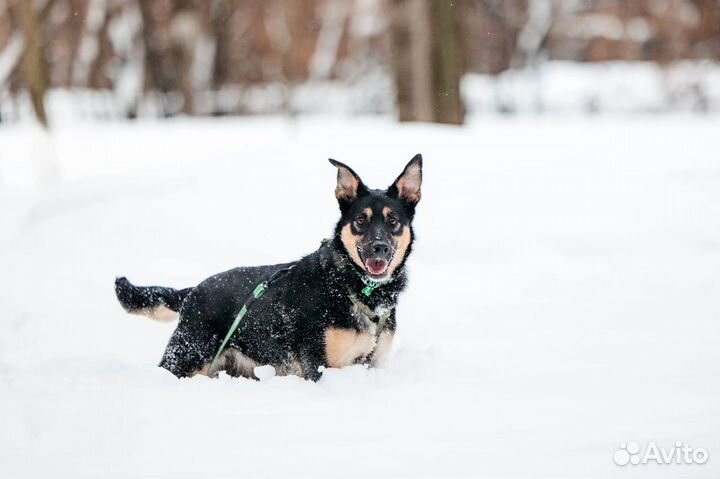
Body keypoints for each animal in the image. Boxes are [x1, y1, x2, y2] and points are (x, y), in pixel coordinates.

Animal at [115, 156, 422, 380]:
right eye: (360, 220)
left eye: (393, 221)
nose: (379, 247)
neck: (352, 286)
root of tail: (192, 291)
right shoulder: (321, 367)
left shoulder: (373, 362)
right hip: (185, 357)